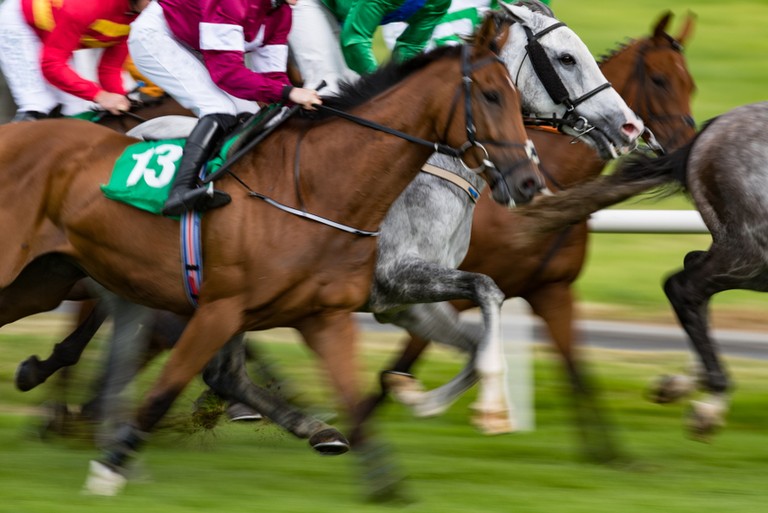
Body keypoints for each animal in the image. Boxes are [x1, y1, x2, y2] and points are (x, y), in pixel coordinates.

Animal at [16, 0, 645, 438]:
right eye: (565, 57)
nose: (630, 125)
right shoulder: (396, 278)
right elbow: (488, 293)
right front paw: (478, 410)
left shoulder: (401, 303)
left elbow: (473, 342)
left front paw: (418, 397)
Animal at [379, 11, 697, 461]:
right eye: (659, 79)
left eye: (691, 84)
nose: (689, 150)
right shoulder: (433, 286)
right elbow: (393, 371)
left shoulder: (552, 290)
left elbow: (578, 372)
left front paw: (614, 458)